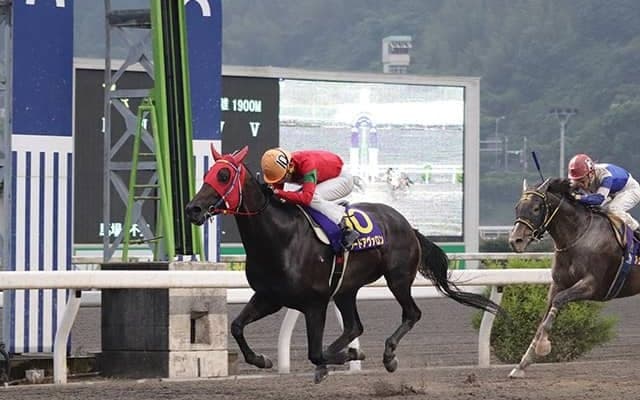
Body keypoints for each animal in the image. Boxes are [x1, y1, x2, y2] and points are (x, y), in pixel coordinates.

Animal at [185, 145, 502, 383]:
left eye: (224, 174)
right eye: (208, 173)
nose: (193, 209)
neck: (279, 238)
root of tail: (408, 225)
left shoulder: (315, 304)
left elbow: (314, 352)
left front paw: (345, 357)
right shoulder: (269, 297)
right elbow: (237, 326)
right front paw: (261, 359)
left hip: (398, 279)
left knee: (411, 313)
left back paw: (388, 355)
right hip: (346, 289)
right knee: (354, 327)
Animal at [508, 177, 640, 378]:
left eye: (536, 208)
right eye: (517, 207)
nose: (515, 241)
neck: (578, 237)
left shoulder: (591, 285)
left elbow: (558, 301)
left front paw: (543, 347)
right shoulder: (557, 284)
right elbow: (544, 318)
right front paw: (522, 364)